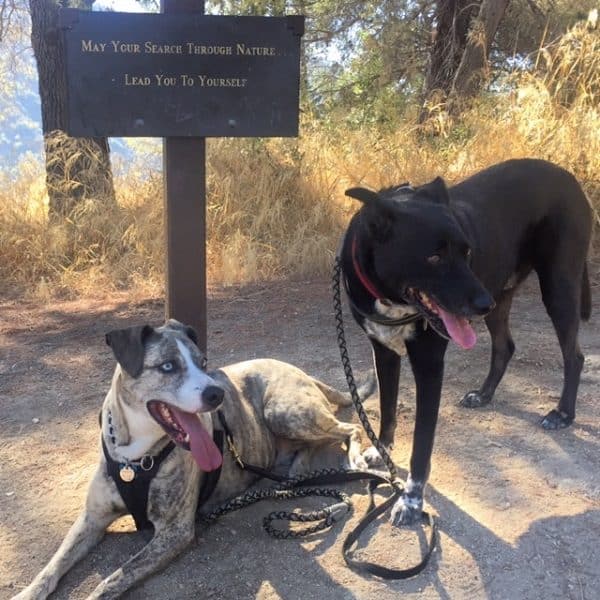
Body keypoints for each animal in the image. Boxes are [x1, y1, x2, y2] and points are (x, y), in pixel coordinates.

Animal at [16, 322, 368, 600]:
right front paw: (27, 592)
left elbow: (113, 579)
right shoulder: (92, 519)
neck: (134, 459)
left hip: (286, 412)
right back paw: (297, 471)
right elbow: (52, 565)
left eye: (203, 362)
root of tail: (298, 370)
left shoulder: (175, 532)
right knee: (312, 444)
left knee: (349, 428)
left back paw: (358, 458)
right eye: (168, 366)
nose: (217, 394)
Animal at [340, 157, 592, 524]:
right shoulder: (383, 351)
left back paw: (562, 413)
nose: (482, 302)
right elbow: (386, 409)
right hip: (503, 293)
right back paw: (484, 394)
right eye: (434, 257)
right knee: (505, 346)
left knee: (574, 356)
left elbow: (422, 445)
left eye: (466, 252)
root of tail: (569, 178)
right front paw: (382, 450)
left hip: (555, 286)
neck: (390, 298)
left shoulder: (429, 365)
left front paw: (411, 500)